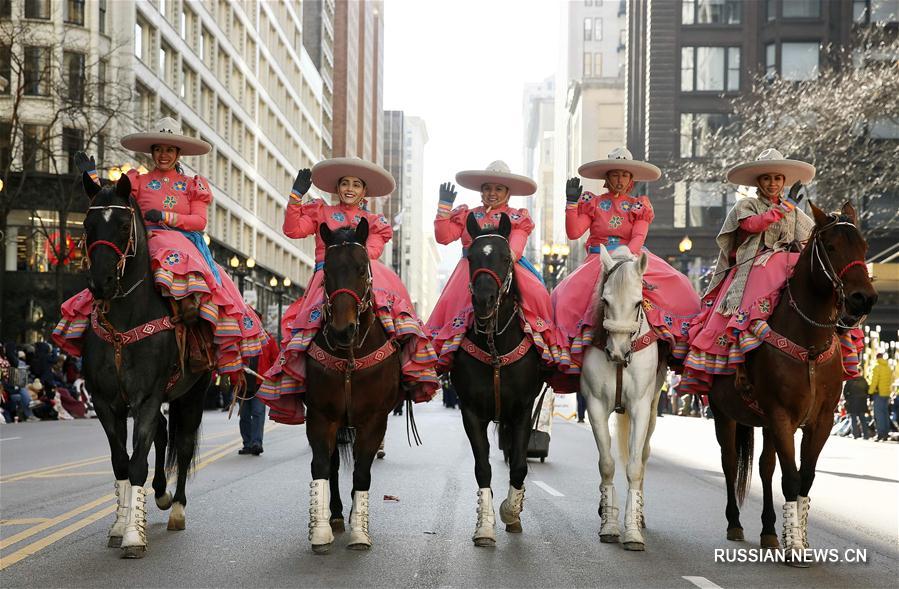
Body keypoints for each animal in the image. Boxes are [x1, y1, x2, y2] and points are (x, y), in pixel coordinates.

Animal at [81, 173, 212, 556]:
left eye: (124, 225)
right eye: (87, 225)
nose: (101, 283)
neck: (124, 320)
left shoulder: (148, 397)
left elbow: (138, 463)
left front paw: (133, 538)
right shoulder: (106, 403)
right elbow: (121, 464)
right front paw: (120, 524)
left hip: (193, 394)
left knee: (183, 445)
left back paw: (176, 508)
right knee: (164, 433)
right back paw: (161, 494)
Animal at [304, 219, 402, 552]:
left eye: (361, 269)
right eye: (326, 272)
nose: (342, 330)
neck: (350, 356)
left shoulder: (374, 420)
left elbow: (362, 473)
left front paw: (360, 531)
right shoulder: (320, 416)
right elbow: (322, 466)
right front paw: (321, 531)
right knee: (334, 464)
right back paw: (335, 514)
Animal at [454, 212, 544, 548]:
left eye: (506, 258)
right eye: (471, 257)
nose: (484, 300)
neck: (495, 343)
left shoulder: (522, 410)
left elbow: (519, 465)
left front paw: (510, 512)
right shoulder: (470, 412)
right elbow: (483, 468)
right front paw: (485, 527)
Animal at [580, 245, 664, 552]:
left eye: (639, 302)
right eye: (604, 300)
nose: (617, 352)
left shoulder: (640, 406)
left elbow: (635, 466)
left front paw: (632, 531)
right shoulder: (594, 405)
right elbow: (607, 464)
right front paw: (609, 524)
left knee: (645, 453)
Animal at [712, 202, 876, 564]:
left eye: (864, 246)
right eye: (831, 246)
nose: (864, 298)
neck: (809, 342)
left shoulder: (821, 419)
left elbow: (805, 479)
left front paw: (796, 536)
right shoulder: (781, 415)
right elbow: (790, 478)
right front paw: (795, 547)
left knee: (764, 467)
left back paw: (769, 530)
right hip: (724, 414)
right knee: (730, 463)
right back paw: (734, 523)